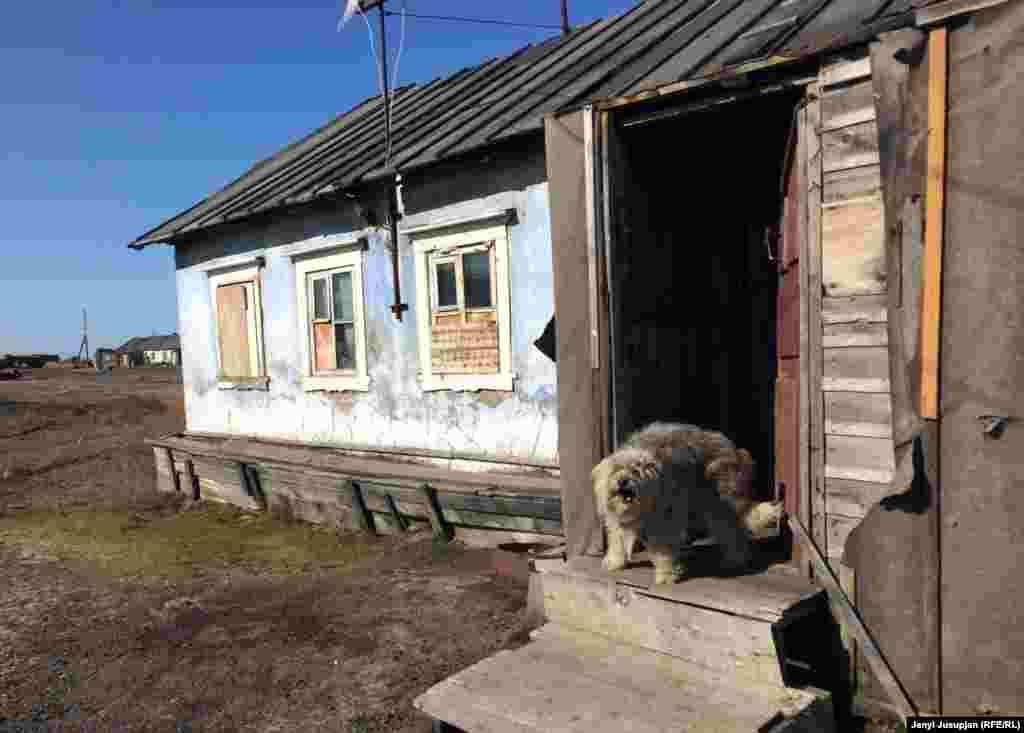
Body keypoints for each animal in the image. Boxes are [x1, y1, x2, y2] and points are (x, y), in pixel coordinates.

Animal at [593, 423, 782, 585]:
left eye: (635, 470)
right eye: (616, 469)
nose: (622, 481)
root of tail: (735, 450)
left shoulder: (664, 523)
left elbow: (663, 551)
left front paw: (665, 576)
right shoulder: (617, 521)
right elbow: (617, 541)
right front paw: (615, 562)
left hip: (720, 505)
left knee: (733, 533)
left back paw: (735, 560)